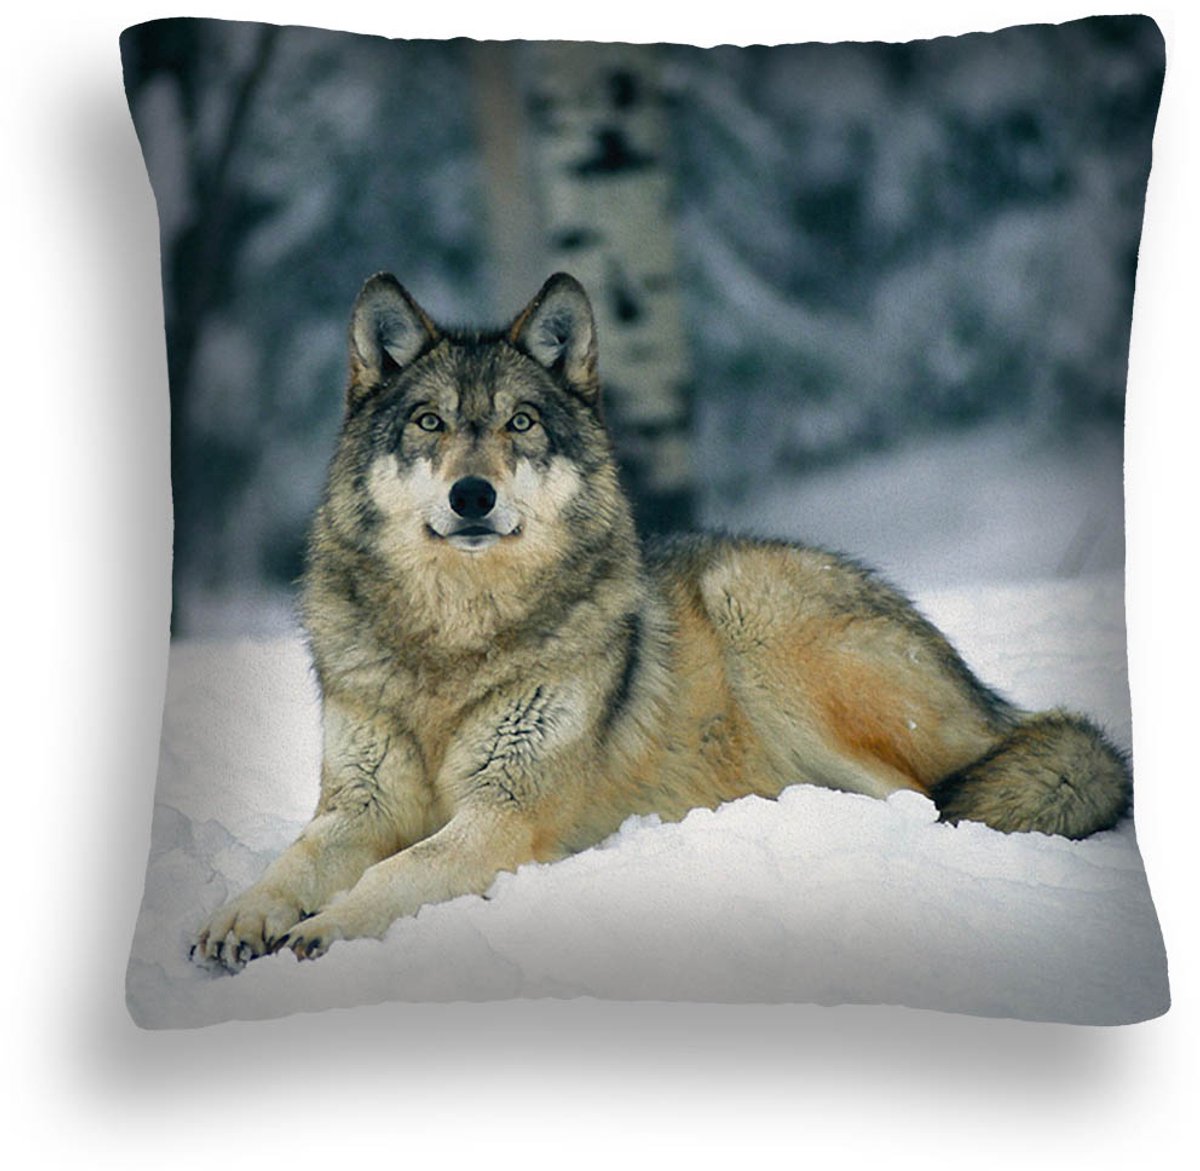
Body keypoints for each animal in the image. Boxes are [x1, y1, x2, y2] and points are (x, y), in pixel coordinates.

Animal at [192, 272, 1132, 970]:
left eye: (519, 423)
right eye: (431, 422)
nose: (473, 495)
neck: (455, 638)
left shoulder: (504, 813)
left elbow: (398, 870)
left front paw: (323, 927)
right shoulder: (358, 804)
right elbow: (294, 860)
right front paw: (239, 917)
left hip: (759, 616)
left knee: (926, 798)